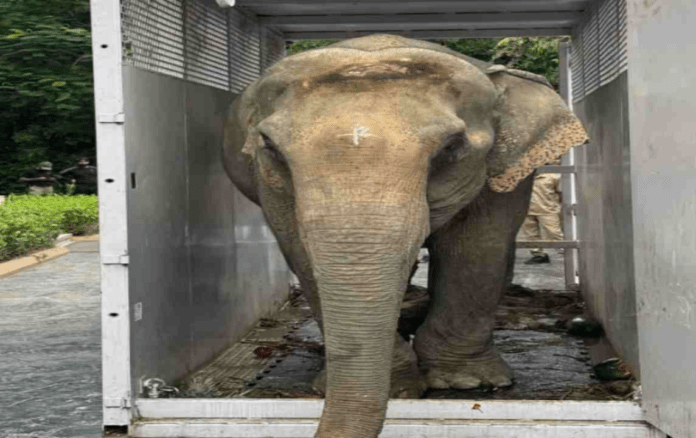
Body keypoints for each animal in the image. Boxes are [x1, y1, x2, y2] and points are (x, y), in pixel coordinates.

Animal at [222, 34, 588, 438]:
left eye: (452, 147)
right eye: (270, 146)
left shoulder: (503, 172)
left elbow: (478, 247)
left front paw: (466, 382)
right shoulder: (269, 184)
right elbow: (302, 258)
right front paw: (399, 387)